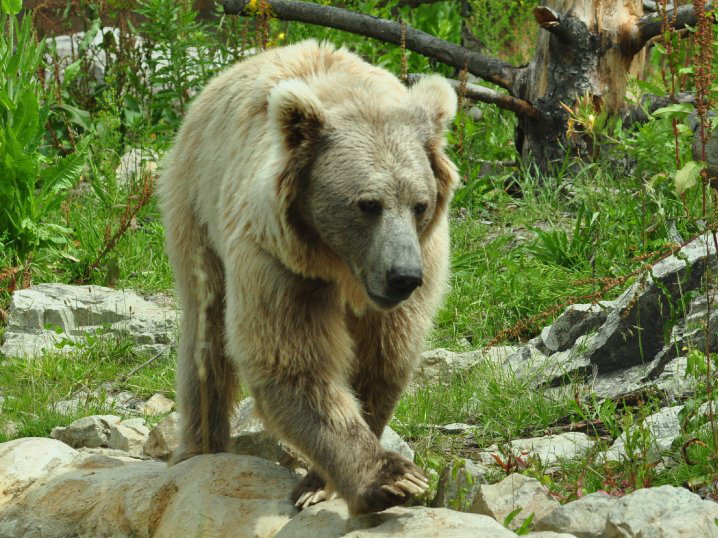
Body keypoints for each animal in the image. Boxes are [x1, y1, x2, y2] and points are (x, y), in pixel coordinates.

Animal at [157, 40, 458, 515]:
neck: (341, 266)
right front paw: (391, 478)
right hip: (196, 206)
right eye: (368, 204)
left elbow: (381, 362)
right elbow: (293, 363)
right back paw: (199, 447)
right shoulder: (276, 260)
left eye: (420, 204)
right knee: (205, 337)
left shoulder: (420, 260)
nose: (403, 277)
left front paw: (321, 481)